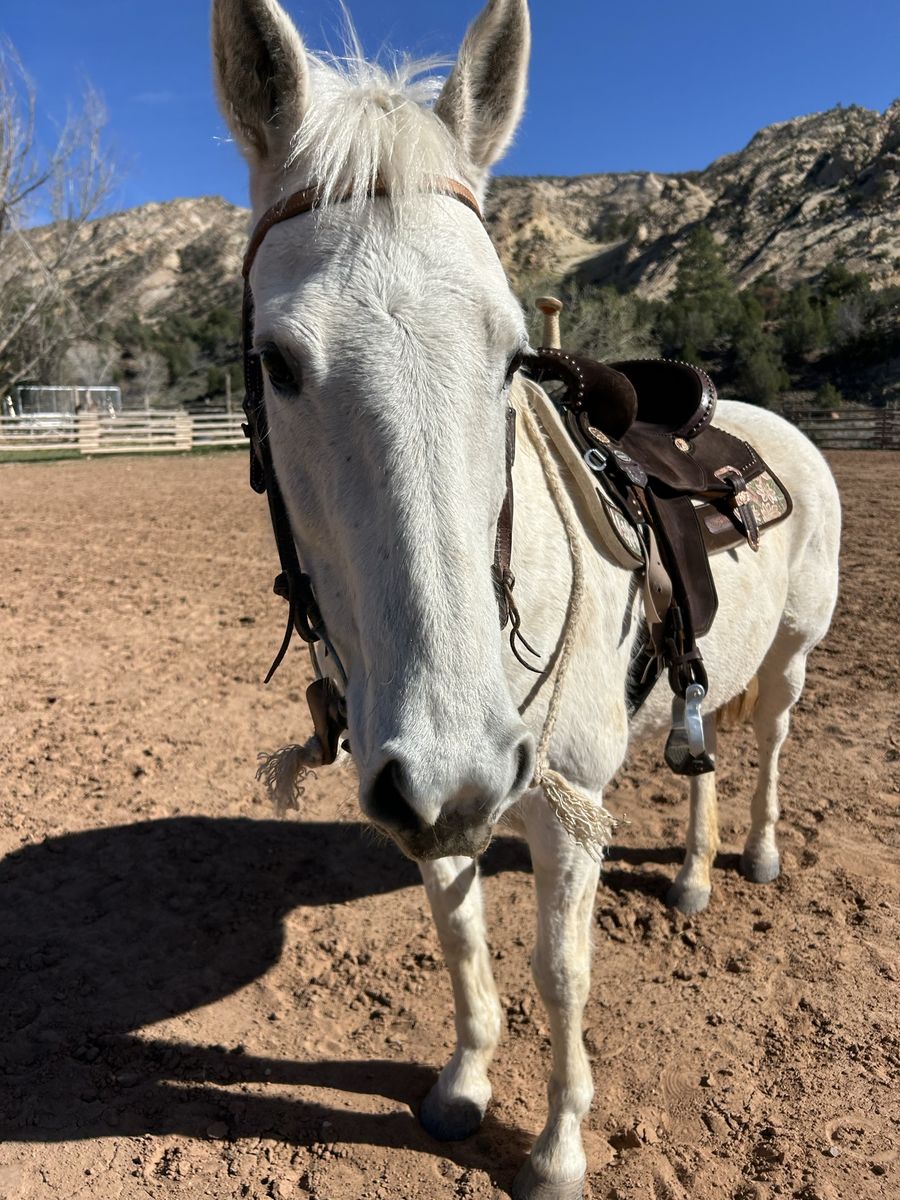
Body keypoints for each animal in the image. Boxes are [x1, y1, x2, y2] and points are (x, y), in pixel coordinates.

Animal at [211, 2, 841, 1196]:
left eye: (512, 355)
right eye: (276, 361)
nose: (460, 763)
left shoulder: (559, 802)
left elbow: (561, 968)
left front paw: (557, 1148)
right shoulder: (428, 790)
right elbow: (460, 940)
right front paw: (464, 1088)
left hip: (789, 657)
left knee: (772, 746)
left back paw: (760, 857)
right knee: (705, 757)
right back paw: (694, 877)